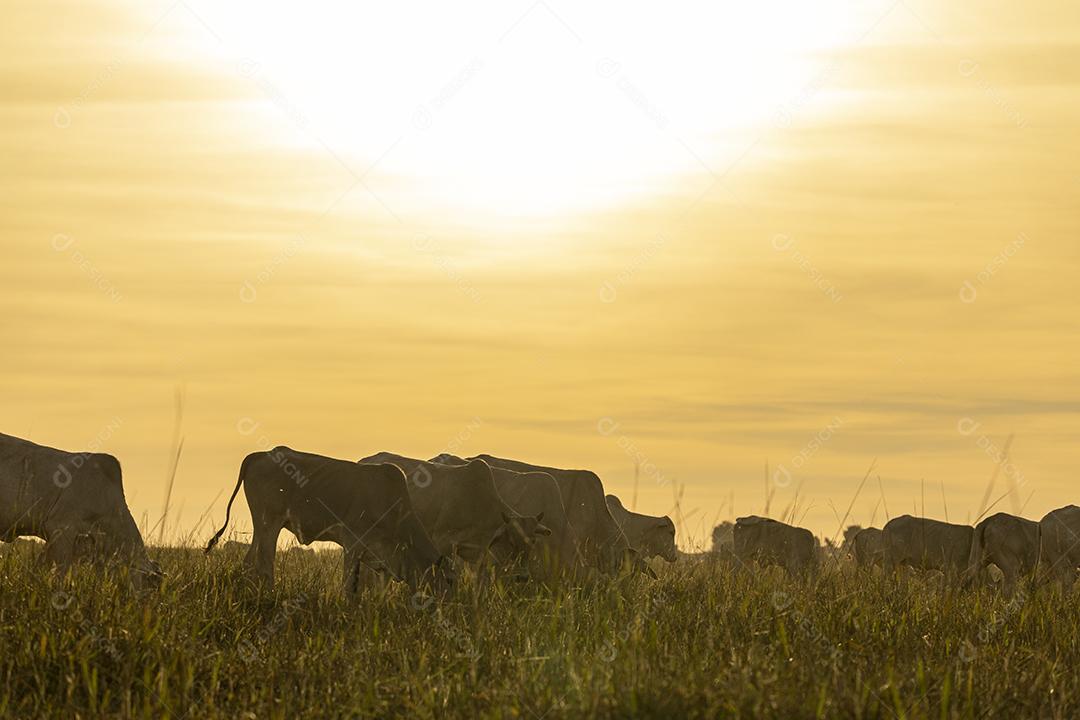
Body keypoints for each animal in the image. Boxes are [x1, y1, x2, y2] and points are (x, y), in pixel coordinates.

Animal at [206, 446, 451, 595]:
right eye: (447, 582)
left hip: (261, 526)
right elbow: (349, 586)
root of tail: (261, 454)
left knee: (250, 561)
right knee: (264, 562)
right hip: (269, 523)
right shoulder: (352, 543)